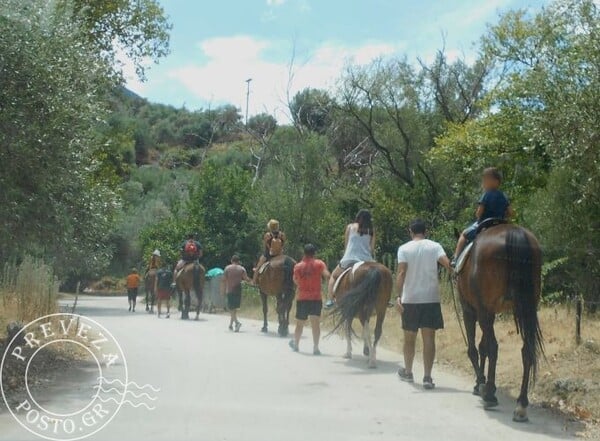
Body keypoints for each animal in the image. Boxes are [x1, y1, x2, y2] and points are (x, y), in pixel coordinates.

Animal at [458, 223, 548, 422]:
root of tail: (514, 232)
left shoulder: (470, 309)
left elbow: (475, 349)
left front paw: (480, 384)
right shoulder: (488, 312)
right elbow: (482, 347)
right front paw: (480, 383)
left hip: (483, 310)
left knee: (493, 346)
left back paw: (490, 394)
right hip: (527, 307)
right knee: (527, 350)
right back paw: (521, 404)